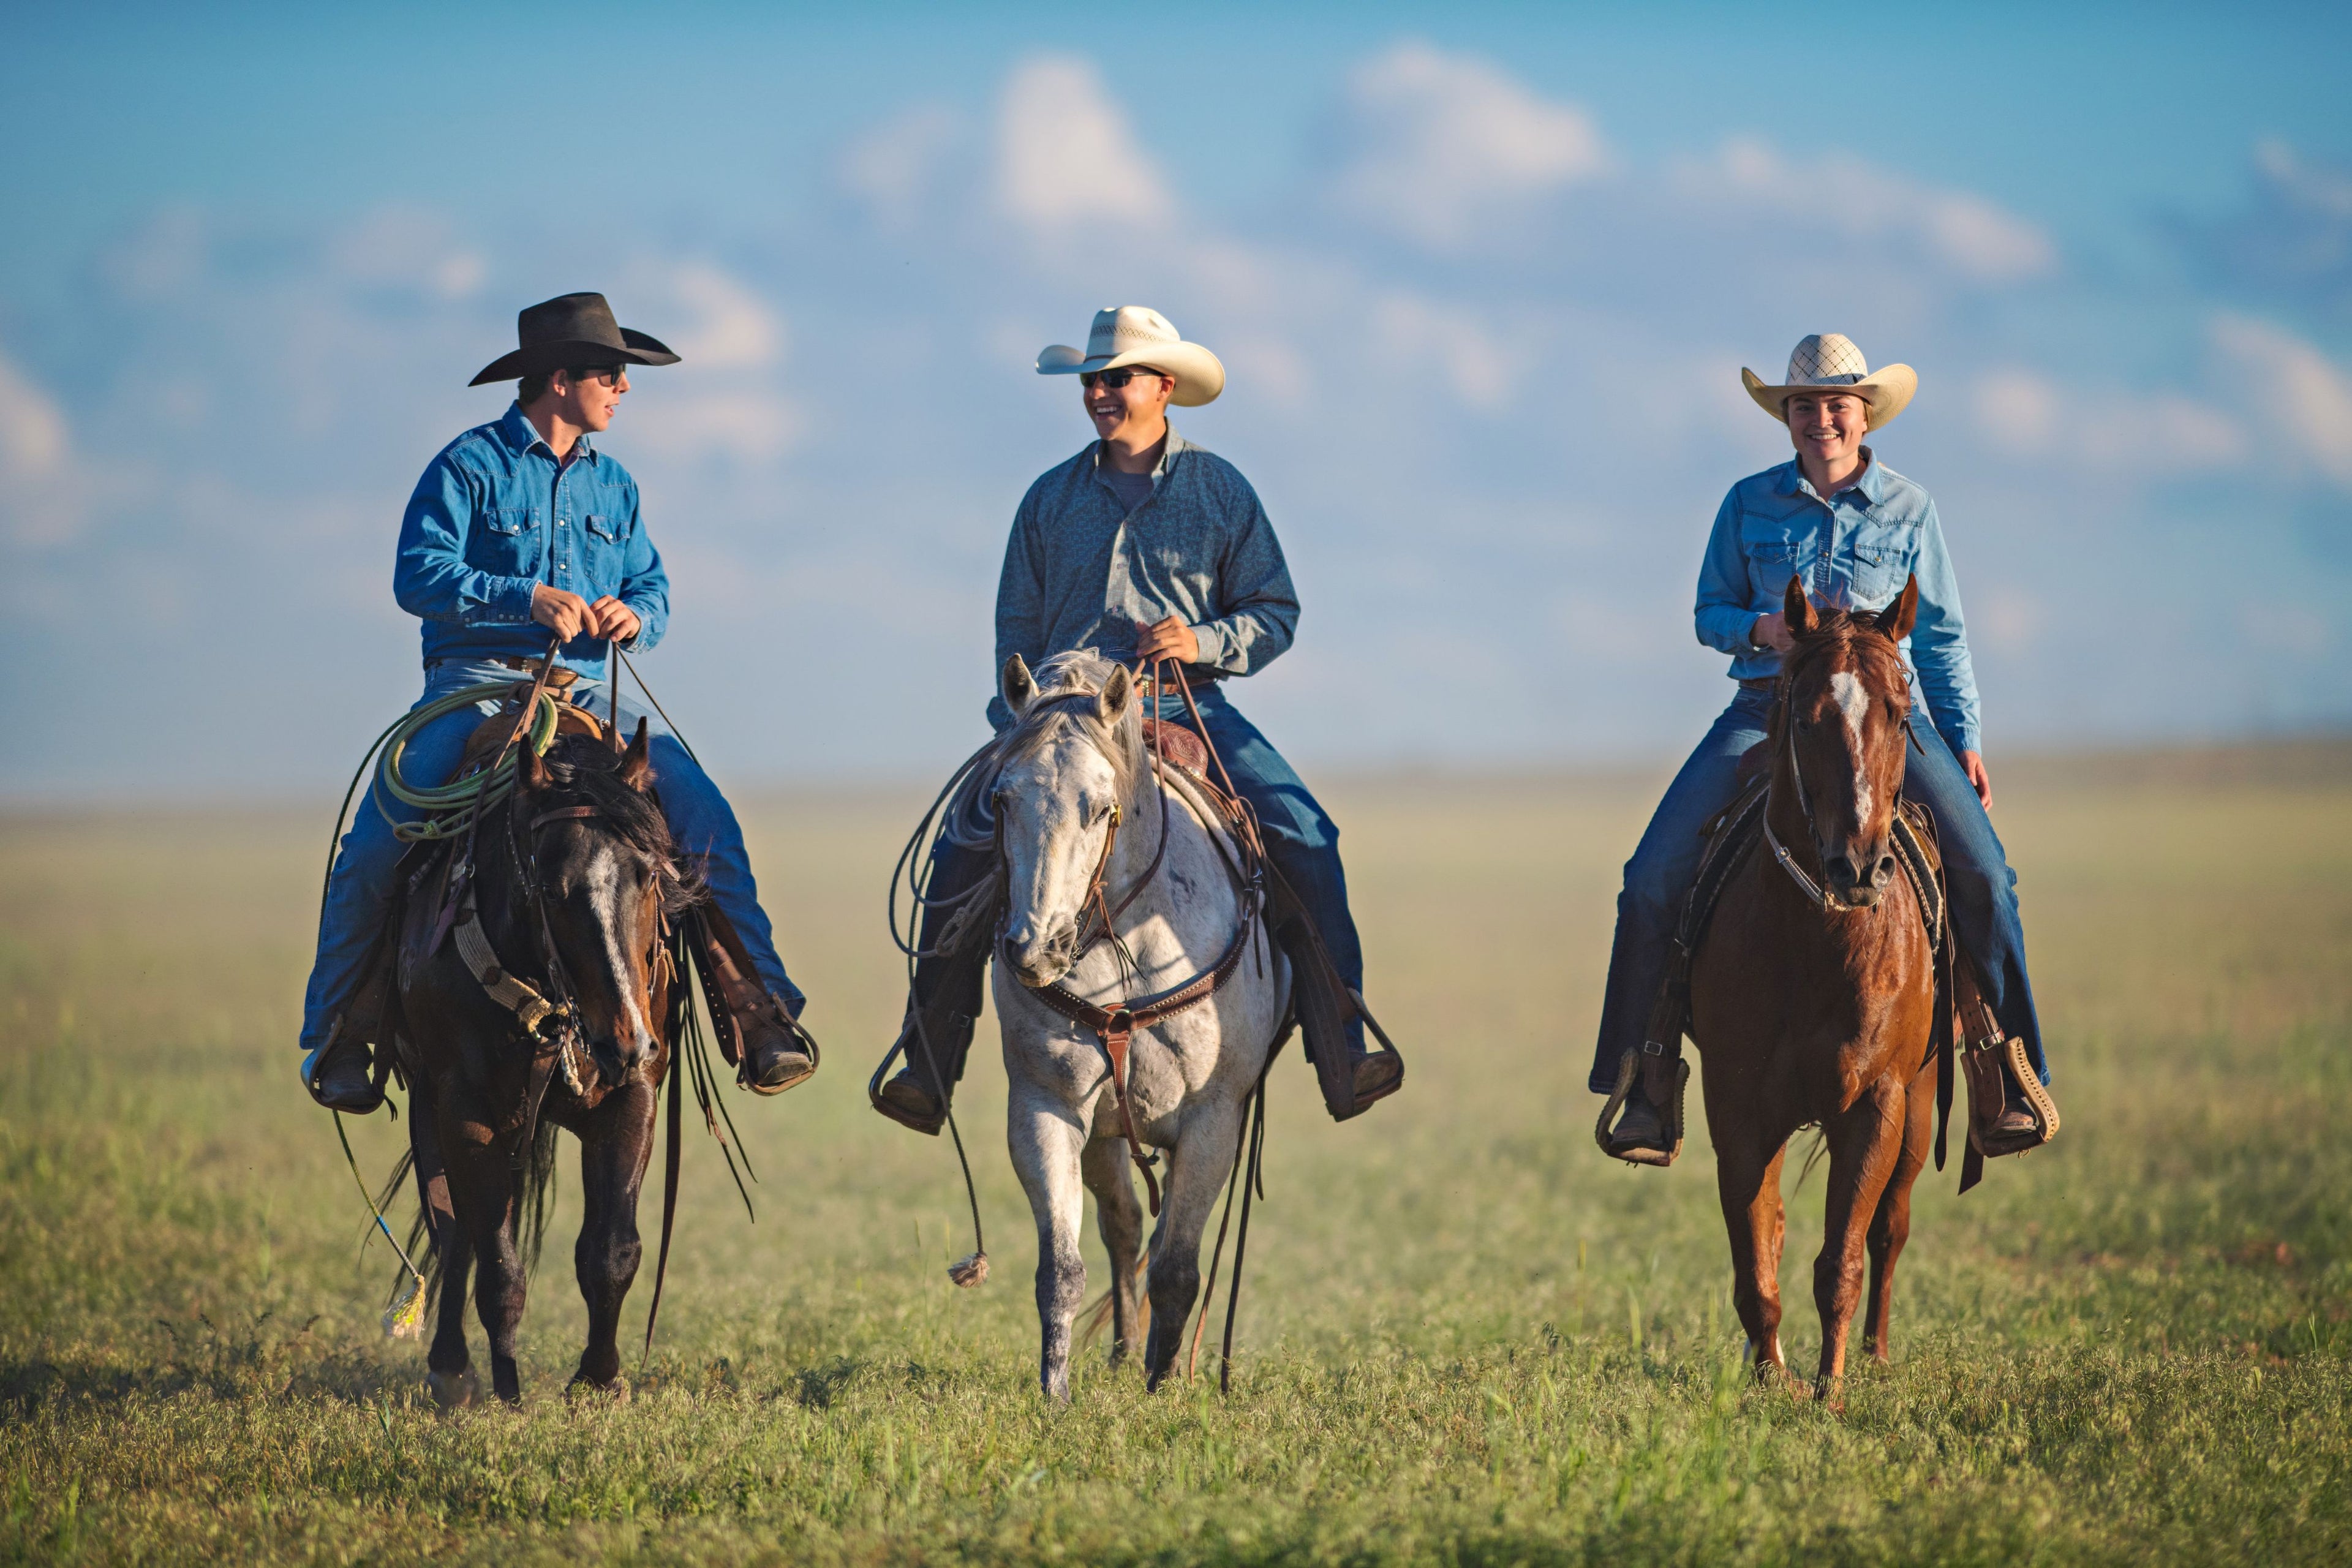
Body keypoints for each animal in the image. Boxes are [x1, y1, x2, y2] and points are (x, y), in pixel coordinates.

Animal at [385, 724, 691, 1410]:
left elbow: (612, 1250)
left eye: (649, 876)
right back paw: (452, 1369)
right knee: (455, 1236)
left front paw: (600, 1378)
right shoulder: (465, 1112)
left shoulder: (633, 1096)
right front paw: (506, 1392)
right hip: (426, 1105)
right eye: (553, 889)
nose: (625, 1041)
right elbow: (495, 1260)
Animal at [987, 649, 1298, 1401]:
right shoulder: (1045, 1106)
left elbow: (1179, 1267)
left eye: (1102, 807)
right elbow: (1062, 1268)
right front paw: (1056, 1394)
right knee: (1123, 1227)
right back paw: (1126, 1351)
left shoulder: (1214, 1123)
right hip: (1104, 1134)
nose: (1036, 949)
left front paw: (1165, 1391)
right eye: (1001, 799)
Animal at [1684, 576, 1938, 1401]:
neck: (1816, 944)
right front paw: (1771, 1377)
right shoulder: (1736, 1107)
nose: (1856, 865)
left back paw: (1879, 1355)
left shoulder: (1877, 1103)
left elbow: (1842, 1260)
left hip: (1923, 1105)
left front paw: (1831, 1390)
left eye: (1900, 713)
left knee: (1892, 1226)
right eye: (1806, 716)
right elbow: (1756, 1256)